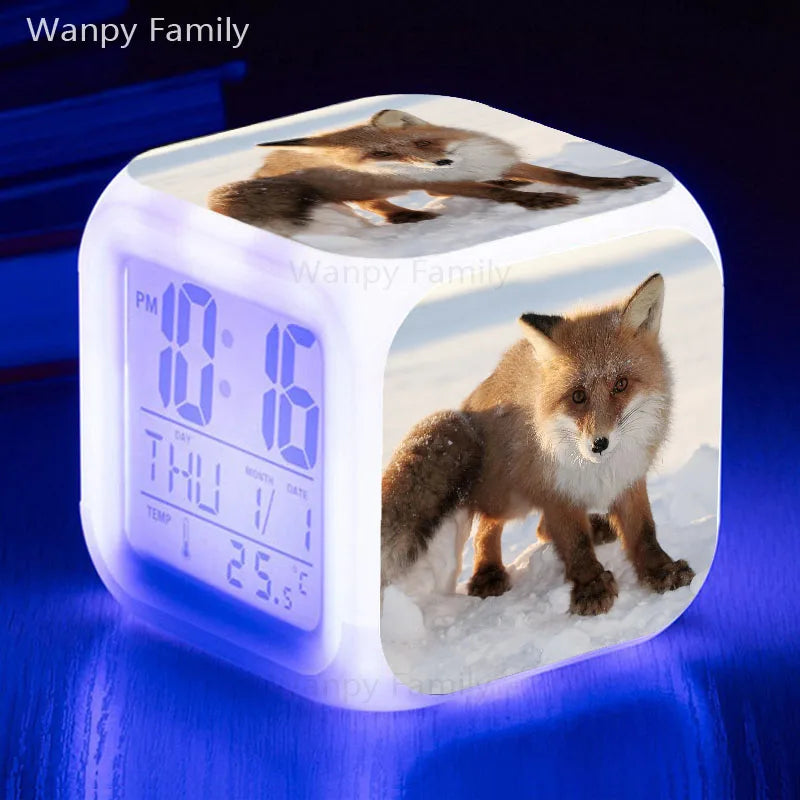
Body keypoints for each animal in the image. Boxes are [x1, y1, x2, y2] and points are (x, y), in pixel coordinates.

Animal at [208, 109, 659, 232]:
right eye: (384, 154)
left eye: (422, 144)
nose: (441, 163)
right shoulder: (448, 184)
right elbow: (498, 194)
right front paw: (541, 201)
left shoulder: (498, 159)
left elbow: (570, 177)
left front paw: (620, 184)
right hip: (352, 193)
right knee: (375, 205)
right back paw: (407, 216)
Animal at [381, 273, 695, 616]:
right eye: (578, 396)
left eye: (621, 385)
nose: (599, 444)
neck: (600, 471)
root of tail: (470, 407)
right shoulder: (555, 491)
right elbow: (575, 544)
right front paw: (590, 586)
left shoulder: (630, 480)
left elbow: (643, 531)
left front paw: (660, 570)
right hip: (510, 496)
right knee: (489, 526)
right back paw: (488, 572)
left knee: (542, 529)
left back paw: (597, 527)